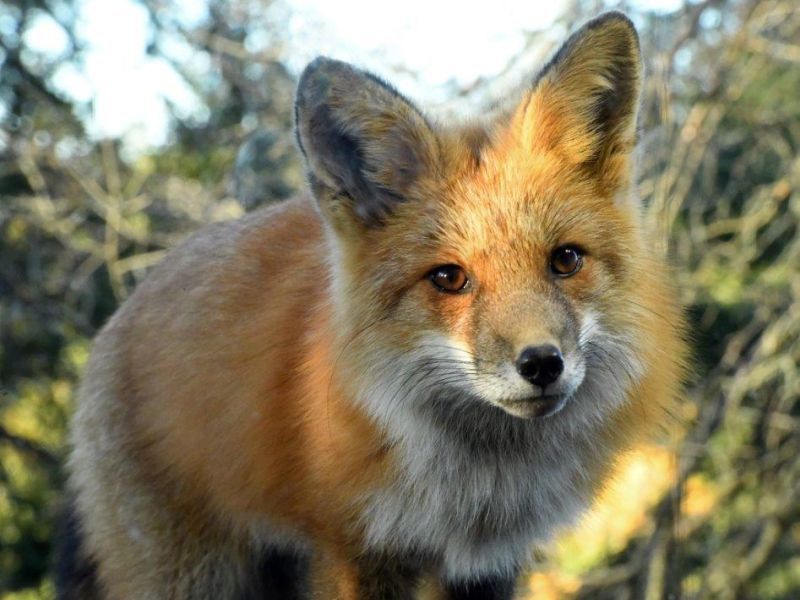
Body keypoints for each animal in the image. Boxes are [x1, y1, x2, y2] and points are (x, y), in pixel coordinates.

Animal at [57, 12, 687, 600]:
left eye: (566, 260)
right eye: (449, 278)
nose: (541, 364)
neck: (476, 496)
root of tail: (123, 312)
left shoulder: (489, 566)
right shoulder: (354, 549)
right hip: (189, 575)